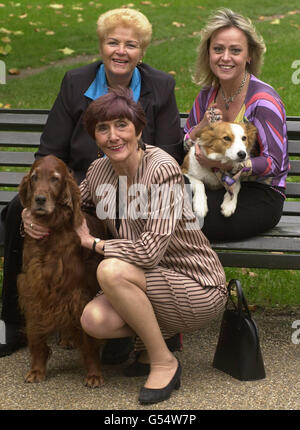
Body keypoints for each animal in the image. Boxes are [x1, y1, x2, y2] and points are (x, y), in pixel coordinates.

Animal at [18, 154, 104, 386]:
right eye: (34, 177)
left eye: (55, 178)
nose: (39, 199)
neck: (52, 230)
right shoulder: (34, 290)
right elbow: (36, 336)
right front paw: (37, 370)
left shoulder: (79, 292)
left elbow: (89, 339)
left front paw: (94, 373)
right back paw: (66, 338)